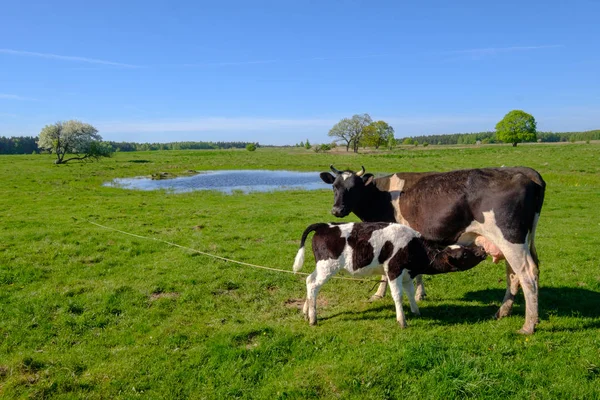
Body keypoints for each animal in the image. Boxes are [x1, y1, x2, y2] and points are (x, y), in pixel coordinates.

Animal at [294, 222, 488, 328]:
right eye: (464, 254)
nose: (482, 250)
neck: (414, 247)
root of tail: (325, 225)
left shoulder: (408, 274)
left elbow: (410, 293)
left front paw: (416, 311)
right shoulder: (394, 270)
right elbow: (398, 295)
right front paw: (402, 321)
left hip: (321, 267)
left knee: (309, 280)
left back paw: (306, 312)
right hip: (328, 266)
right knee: (313, 286)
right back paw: (313, 318)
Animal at [322, 166, 548, 334]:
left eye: (354, 187)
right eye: (334, 186)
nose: (337, 210)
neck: (382, 197)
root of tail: (526, 173)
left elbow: (387, 272)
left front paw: (379, 294)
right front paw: (419, 294)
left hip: (510, 238)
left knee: (527, 274)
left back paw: (528, 325)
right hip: (515, 241)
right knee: (514, 274)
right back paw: (503, 312)